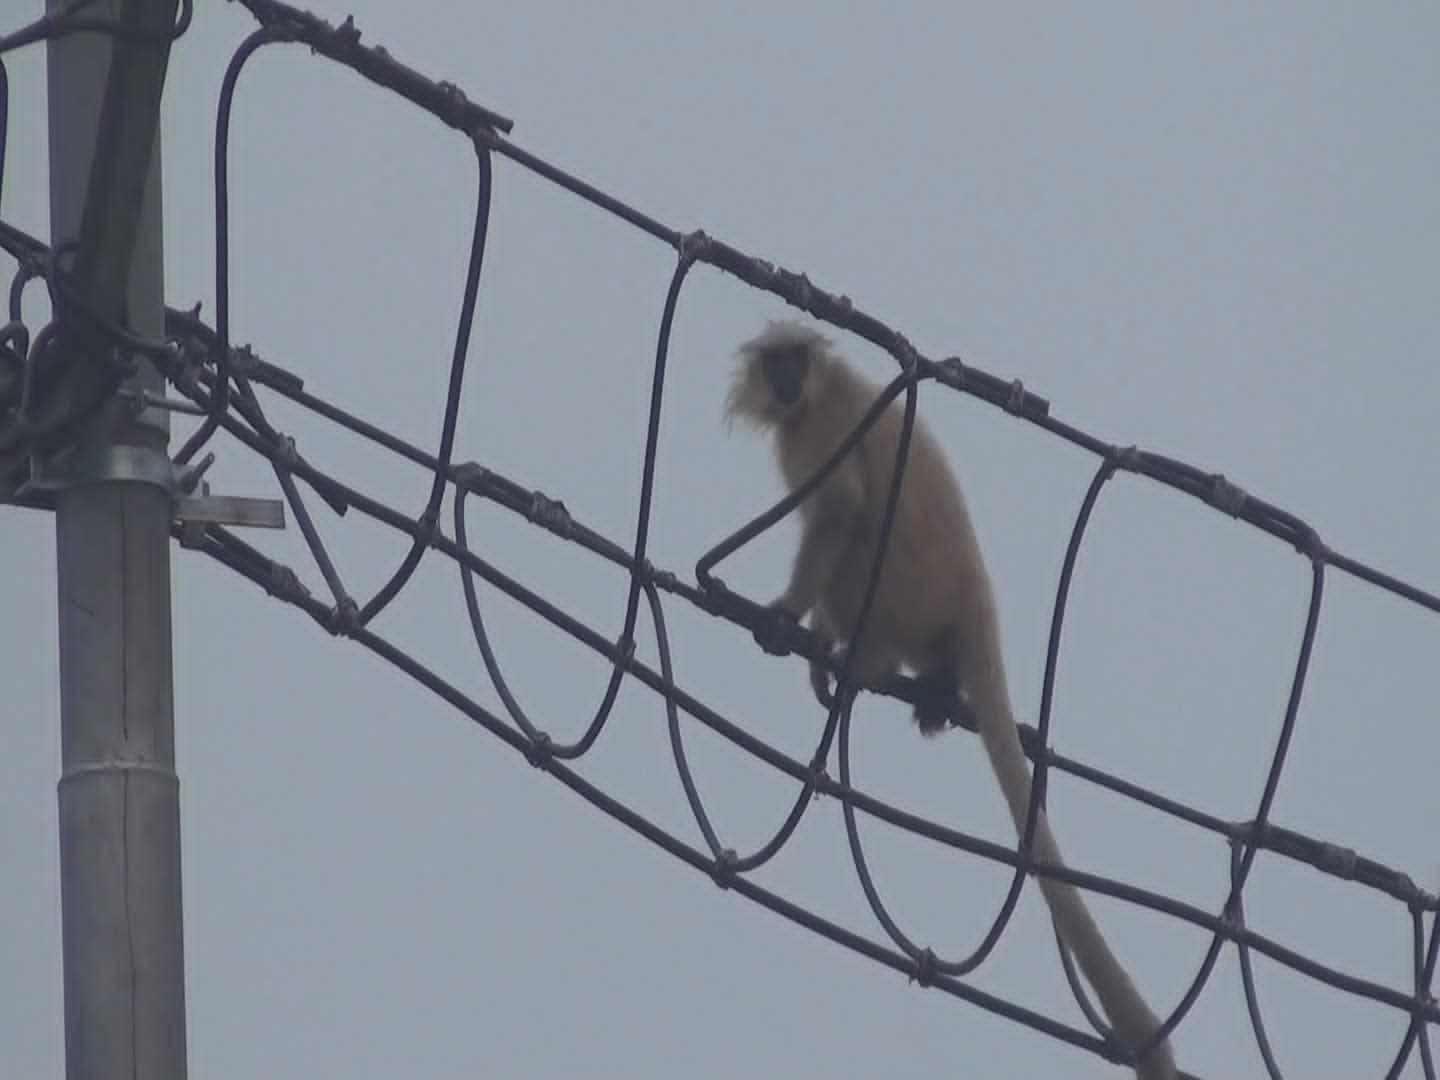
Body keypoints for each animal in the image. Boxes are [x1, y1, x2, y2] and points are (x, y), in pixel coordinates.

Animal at [725, 319, 1175, 1080]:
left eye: (795, 362)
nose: (785, 383)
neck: (819, 394)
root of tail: (976, 600)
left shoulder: (825, 429)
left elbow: (840, 510)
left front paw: (786, 616)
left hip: (900, 594)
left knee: (855, 536)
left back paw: (863, 662)